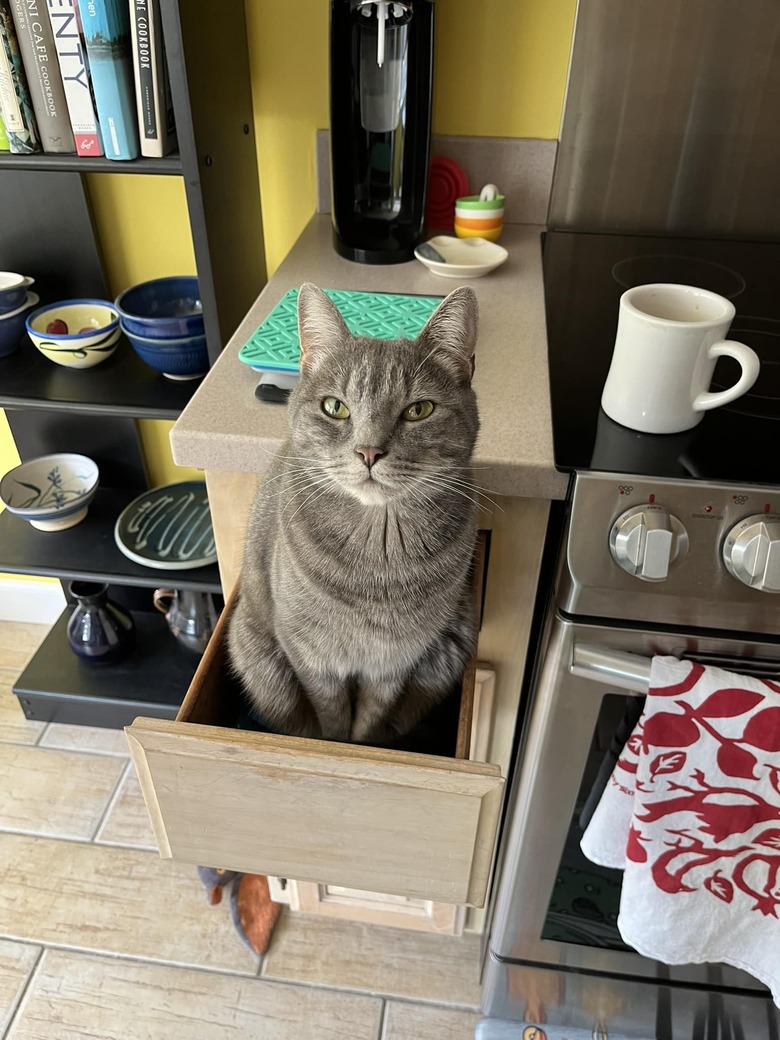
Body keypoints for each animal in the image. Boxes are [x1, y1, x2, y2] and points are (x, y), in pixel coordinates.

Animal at [227, 280, 482, 744]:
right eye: (335, 407)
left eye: (418, 410)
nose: (368, 452)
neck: (379, 553)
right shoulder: (312, 657)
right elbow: (331, 717)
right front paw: (334, 744)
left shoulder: (396, 661)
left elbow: (371, 719)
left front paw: (364, 745)